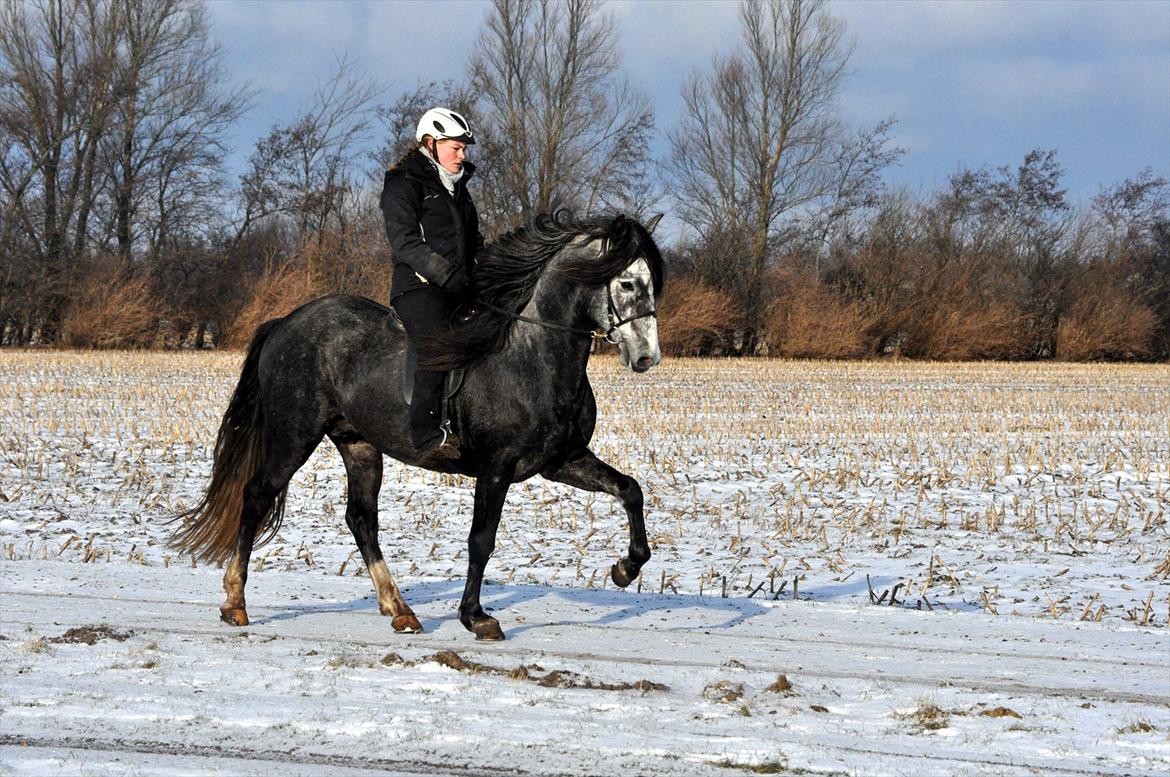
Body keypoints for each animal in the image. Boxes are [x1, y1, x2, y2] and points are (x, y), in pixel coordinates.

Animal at [170, 210, 669, 636]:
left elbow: (630, 490)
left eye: (652, 284)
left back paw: (400, 610)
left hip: (359, 445)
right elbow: (481, 540)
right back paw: (235, 603)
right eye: (627, 282)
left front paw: (625, 569)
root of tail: (287, 322)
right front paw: (476, 617)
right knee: (257, 495)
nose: (647, 358)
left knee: (360, 519)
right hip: (294, 434)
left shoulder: (562, 461)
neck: (533, 357)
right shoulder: (497, 467)